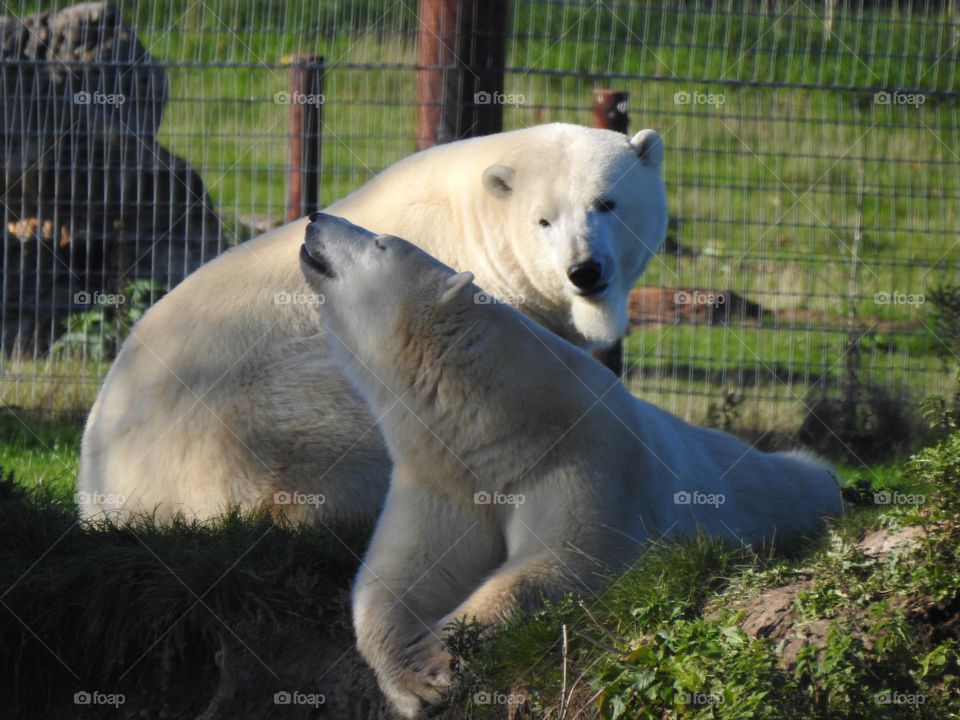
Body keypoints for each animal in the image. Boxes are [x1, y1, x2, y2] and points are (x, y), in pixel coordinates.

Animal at [297, 214, 845, 717]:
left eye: (380, 243)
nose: (314, 219)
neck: (499, 423)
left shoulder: (583, 456)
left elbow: (565, 560)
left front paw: (439, 657)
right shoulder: (444, 477)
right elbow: (398, 577)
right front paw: (415, 680)